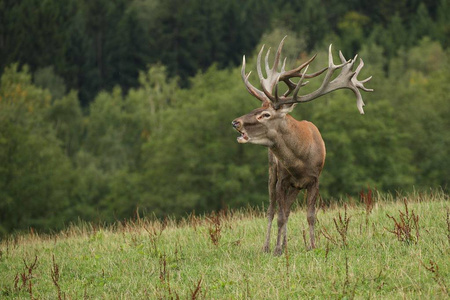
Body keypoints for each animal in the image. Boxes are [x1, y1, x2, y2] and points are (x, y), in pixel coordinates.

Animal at [232, 36, 372, 254]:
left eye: (266, 114)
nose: (235, 122)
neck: (300, 160)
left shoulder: (315, 179)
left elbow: (310, 215)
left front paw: (312, 246)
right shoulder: (283, 180)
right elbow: (280, 216)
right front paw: (277, 250)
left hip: (295, 186)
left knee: (288, 209)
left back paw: (285, 243)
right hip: (273, 172)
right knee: (272, 209)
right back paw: (268, 246)